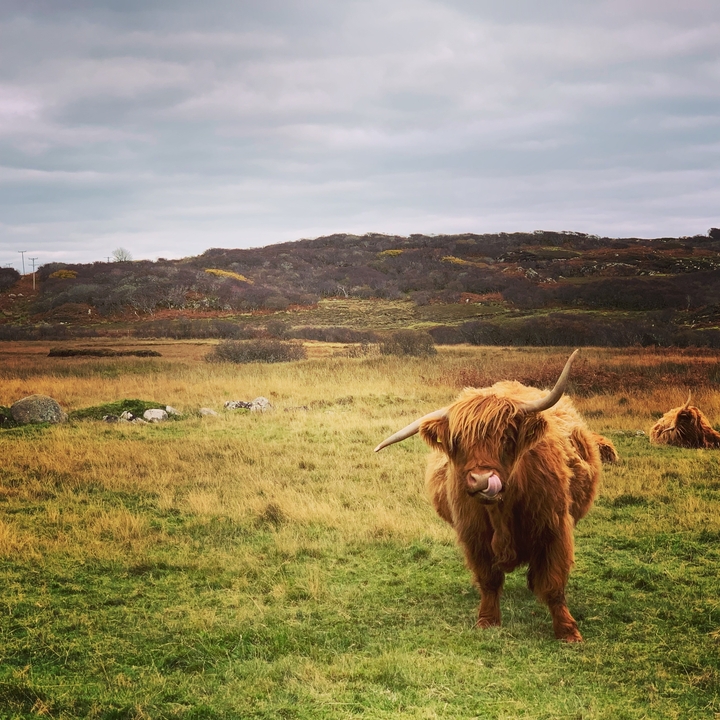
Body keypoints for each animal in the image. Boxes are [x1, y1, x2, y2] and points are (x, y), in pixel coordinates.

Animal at [375, 350, 610, 642]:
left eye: (506, 438)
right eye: (457, 442)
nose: (482, 480)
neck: (501, 510)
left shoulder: (554, 528)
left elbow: (554, 583)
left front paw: (568, 631)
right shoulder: (474, 535)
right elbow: (488, 580)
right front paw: (487, 620)